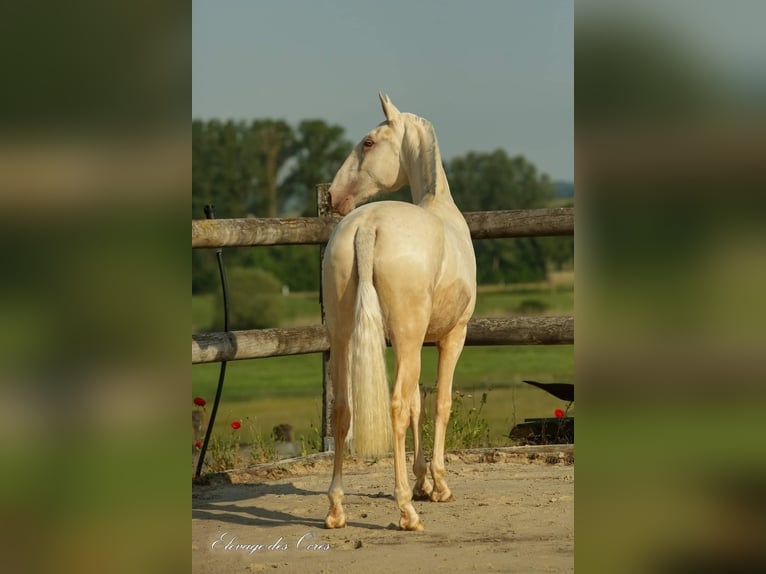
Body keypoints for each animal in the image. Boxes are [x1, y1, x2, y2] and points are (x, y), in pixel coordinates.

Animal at [320, 93, 476, 532]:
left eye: (368, 142)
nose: (332, 196)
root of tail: (368, 225)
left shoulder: (416, 342)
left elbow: (417, 404)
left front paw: (424, 481)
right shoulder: (451, 337)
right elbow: (438, 404)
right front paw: (437, 485)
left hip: (343, 337)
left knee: (344, 408)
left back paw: (336, 509)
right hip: (406, 338)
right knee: (394, 406)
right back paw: (406, 509)